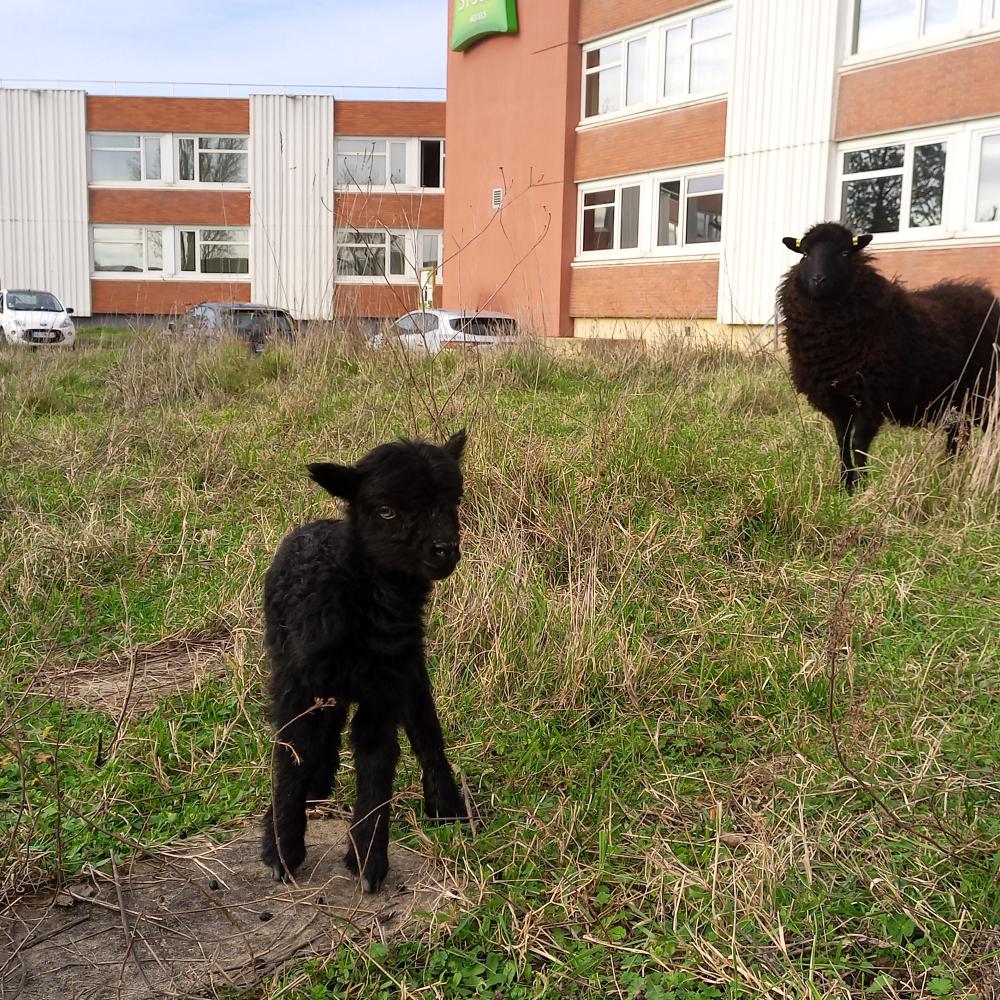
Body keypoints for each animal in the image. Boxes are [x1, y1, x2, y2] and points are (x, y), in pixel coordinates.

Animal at [260, 430, 466, 892]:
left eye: (451, 504)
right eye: (386, 510)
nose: (444, 551)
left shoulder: (384, 687)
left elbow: (378, 761)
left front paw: (368, 861)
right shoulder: (298, 682)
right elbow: (292, 751)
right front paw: (283, 849)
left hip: (408, 667)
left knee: (425, 728)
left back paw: (447, 804)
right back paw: (315, 786)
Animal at [780, 225, 1000, 494]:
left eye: (844, 252)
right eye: (805, 254)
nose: (819, 280)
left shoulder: (872, 397)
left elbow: (858, 444)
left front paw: (861, 488)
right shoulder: (836, 399)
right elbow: (842, 442)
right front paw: (845, 486)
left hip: (985, 392)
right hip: (958, 399)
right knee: (958, 436)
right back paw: (948, 474)